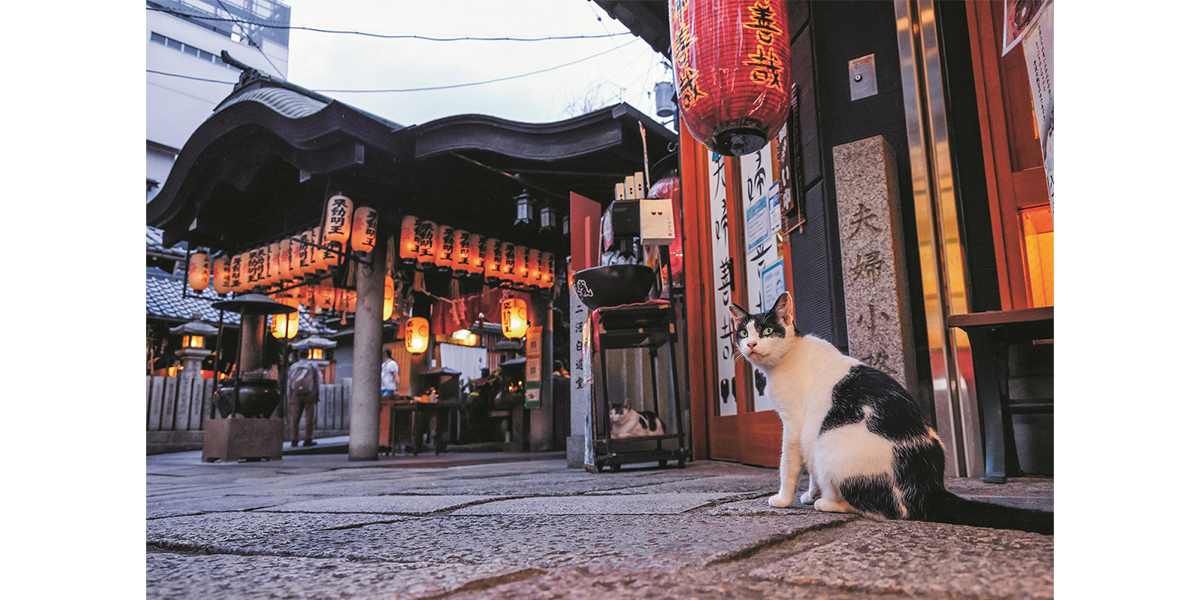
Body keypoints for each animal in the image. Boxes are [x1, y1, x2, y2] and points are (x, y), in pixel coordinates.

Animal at [729, 291, 1051, 535]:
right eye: (743, 332)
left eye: (768, 331)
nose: (751, 344)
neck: (787, 359)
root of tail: (927, 485)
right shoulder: (806, 431)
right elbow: (809, 469)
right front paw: (808, 494)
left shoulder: (795, 424)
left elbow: (790, 464)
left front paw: (785, 500)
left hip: (830, 442)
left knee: (884, 508)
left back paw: (829, 504)